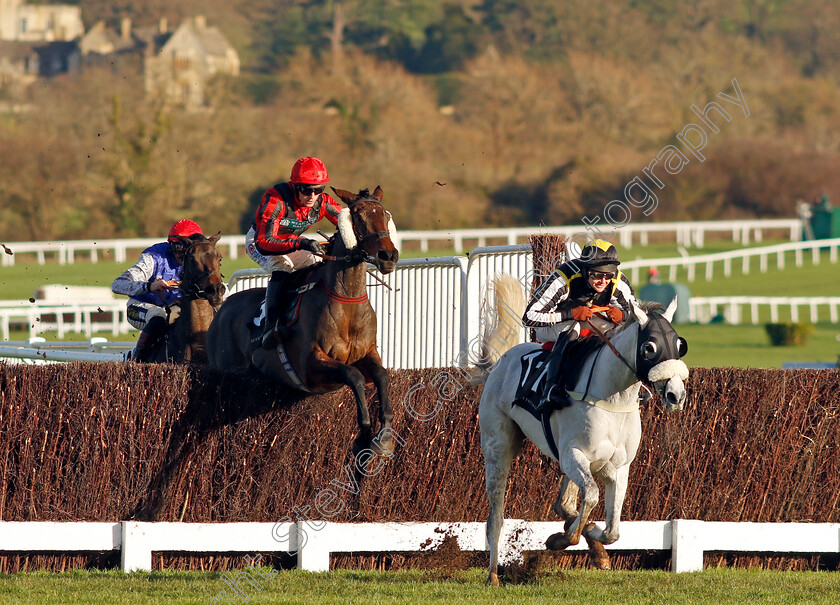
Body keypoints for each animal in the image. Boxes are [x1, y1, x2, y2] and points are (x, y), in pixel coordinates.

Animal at [205, 186, 398, 456]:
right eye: (358, 216)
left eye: (386, 215)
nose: (388, 255)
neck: (346, 300)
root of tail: (222, 309)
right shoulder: (310, 367)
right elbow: (353, 375)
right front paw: (364, 434)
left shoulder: (368, 353)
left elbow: (381, 375)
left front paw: (385, 435)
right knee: (279, 266)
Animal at [476, 274, 684, 584]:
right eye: (650, 347)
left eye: (680, 345)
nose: (676, 395)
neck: (613, 398)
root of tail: (503, 360)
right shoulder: (574, 454)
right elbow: (593, 497)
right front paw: (561, 539)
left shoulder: (617, 467)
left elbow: (612, 529)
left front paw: (596, 542)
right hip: (498, 447)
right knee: (496, 516)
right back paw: (492, 575)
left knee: (563, 504)